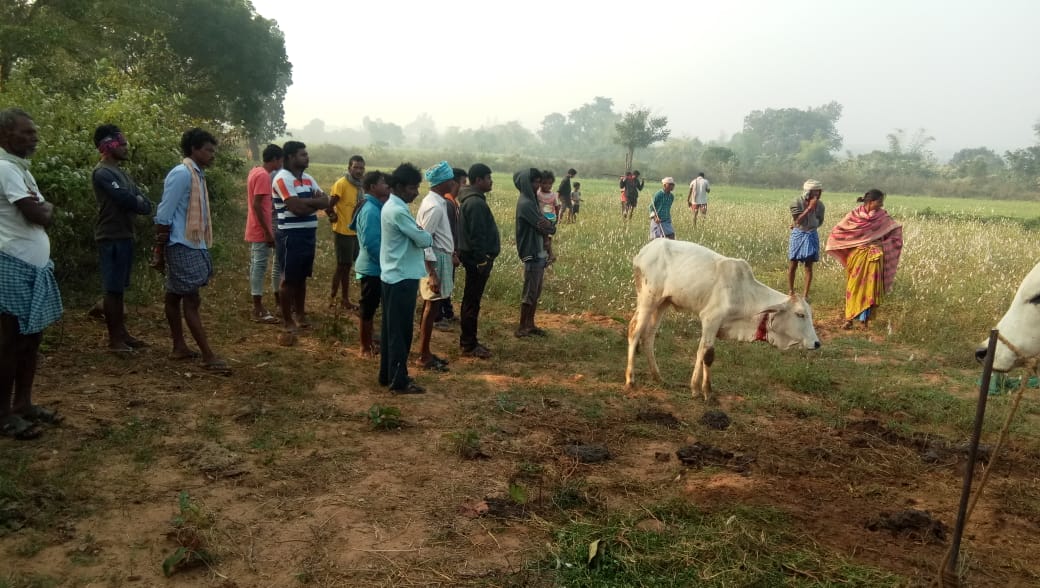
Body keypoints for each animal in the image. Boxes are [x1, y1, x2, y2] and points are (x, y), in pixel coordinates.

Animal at [624, 238, 819, 399]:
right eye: (800, 314)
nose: (817, 343)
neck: (744, 292)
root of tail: (644, 251)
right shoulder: (711, 319)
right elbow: (708, 355)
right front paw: (706, 391)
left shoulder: (713, 326)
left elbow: (701, 352)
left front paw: (695, 388)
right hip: (648, 300)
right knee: (635, 331)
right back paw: (630, 379)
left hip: (663, 303)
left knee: (649, 336)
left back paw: (658, 377)